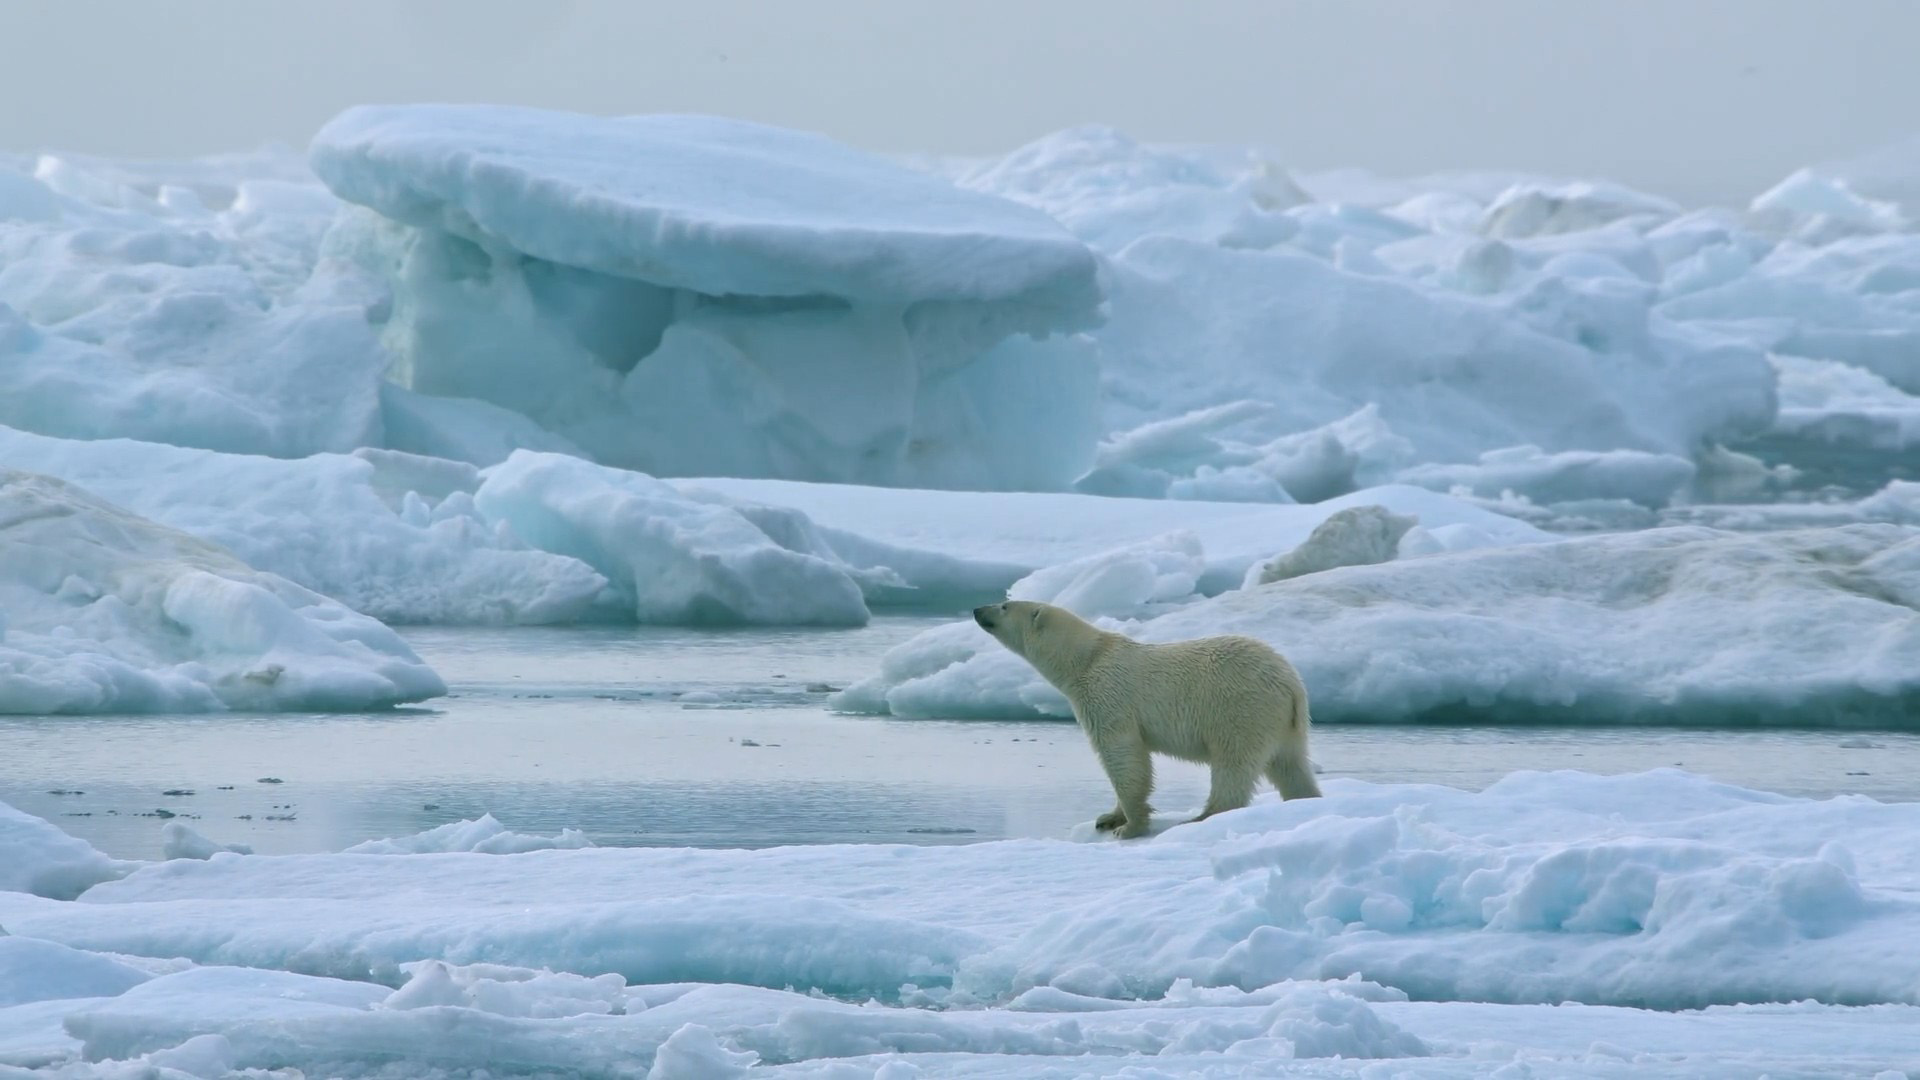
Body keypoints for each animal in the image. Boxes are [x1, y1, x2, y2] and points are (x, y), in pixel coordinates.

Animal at [975, 599, 1320, 837]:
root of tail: (1290, 684)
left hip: (1240, 708)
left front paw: (1129, 826)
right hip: (1286, 723)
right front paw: (1107, 818)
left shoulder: (1107, 697)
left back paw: (1203, 816)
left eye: (1004, 605)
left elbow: (1123, 756)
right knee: (1290, 765)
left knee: (1232, 764)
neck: (1087, 659)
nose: (978, 609)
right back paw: (1305, 800)